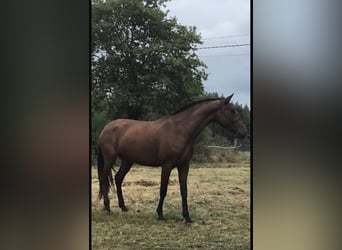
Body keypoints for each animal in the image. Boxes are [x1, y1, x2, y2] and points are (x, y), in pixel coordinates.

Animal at [96, 94, 246, 223]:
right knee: (104, 178)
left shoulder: (184, 166)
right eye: (232, 111)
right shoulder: (167, 166)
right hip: (109, 159)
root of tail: (106, 128)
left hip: (128, 161)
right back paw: (107, 208)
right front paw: (160, 214)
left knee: (118, 178)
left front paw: (187, 217)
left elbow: (184, 191)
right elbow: (163, 190)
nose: (244, 132)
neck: (180, 130)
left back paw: (123, 207)